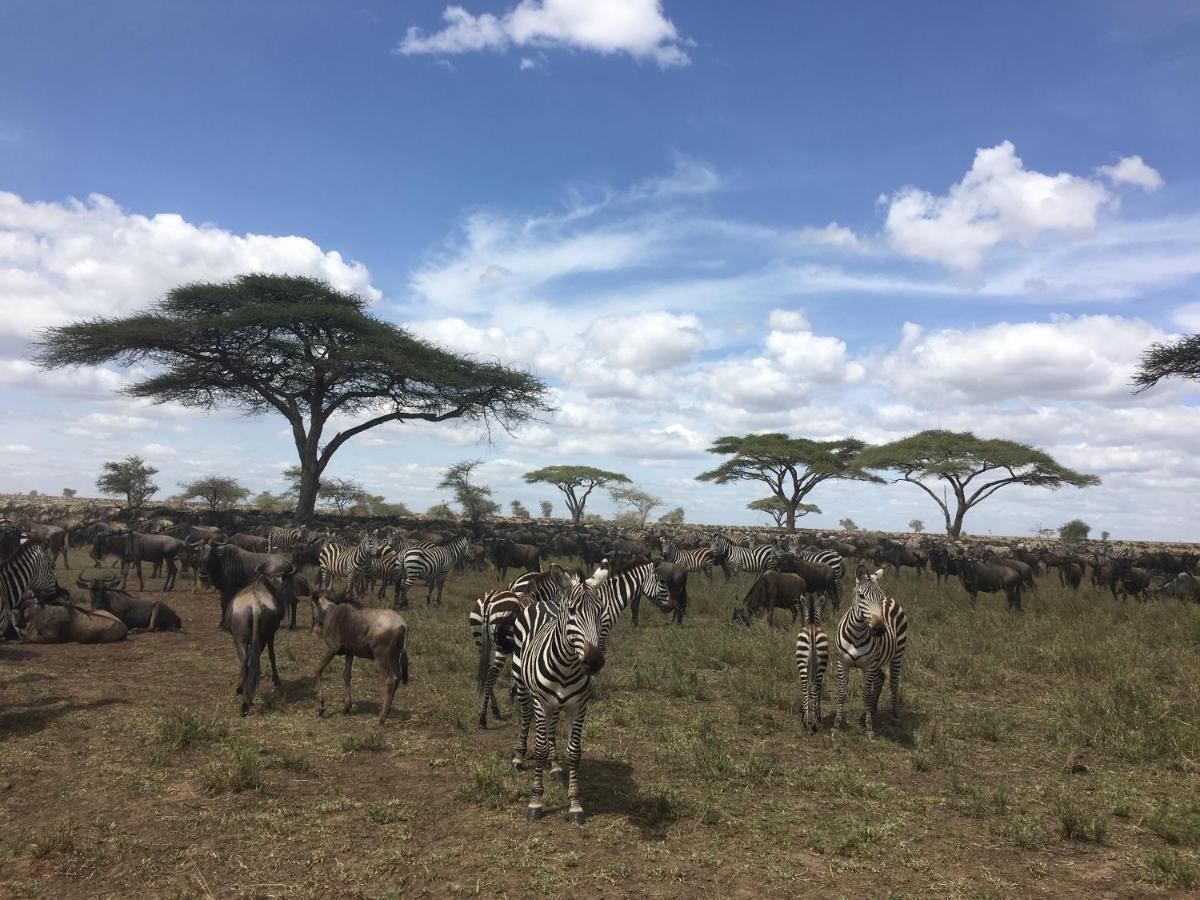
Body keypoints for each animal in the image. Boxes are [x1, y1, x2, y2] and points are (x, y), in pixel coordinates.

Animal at [516, 585, 609, 825]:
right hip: (521, 681)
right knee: (525, 715)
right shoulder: (541, 703)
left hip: (555, 704)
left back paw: (556, 765)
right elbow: (539, 750)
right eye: (573, 611)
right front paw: (535, 802)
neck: (566, 666)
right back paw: (518, 757)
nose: (594, 661)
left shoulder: (579, 706)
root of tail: (545, 602)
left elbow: (574, 752)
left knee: (551, 726)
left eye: (600, 611)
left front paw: (575, 805)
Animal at [792, 592, 830, 734]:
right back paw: (812, 722)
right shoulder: (816, 668)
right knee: (813, 688)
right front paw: (816, 715)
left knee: (805, 688)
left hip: (803, 662)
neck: (813, 622)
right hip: (818, 664)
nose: (801, 621)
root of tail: (812, 630)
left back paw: (806, 721)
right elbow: (816, 689)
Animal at [835, 571, 907, 739]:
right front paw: (836, 726)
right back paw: (873, 710)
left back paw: (894, 715)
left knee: (893, 682)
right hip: (878, 661)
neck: (856, 634)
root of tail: (890, 599)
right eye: (861, 596)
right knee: (881, 677)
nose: (880, 629)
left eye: (880, 597)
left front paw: (869, 729)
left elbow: (866, 695)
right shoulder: (842, 663)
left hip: (897, 654)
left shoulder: (869, 666)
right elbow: (841, 693)